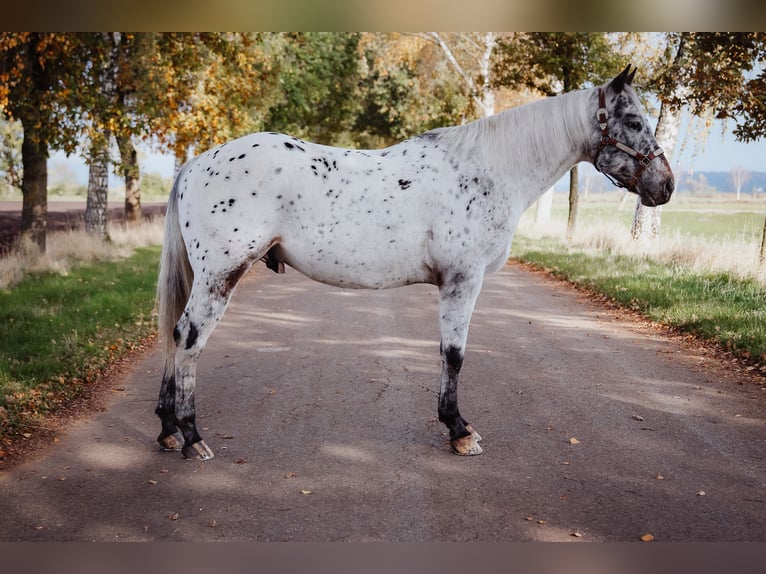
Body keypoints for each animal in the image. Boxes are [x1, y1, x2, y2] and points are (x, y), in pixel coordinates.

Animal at [158, 66, 680, 464]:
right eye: (633, 120)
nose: (666, 185)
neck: (490, 169)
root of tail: (197, 163)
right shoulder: (462, 282)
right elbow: (454, 354)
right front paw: (460, 431)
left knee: (175, 334)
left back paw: (166, 430)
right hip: (220, 275)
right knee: (189, 338)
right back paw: (192, 438)